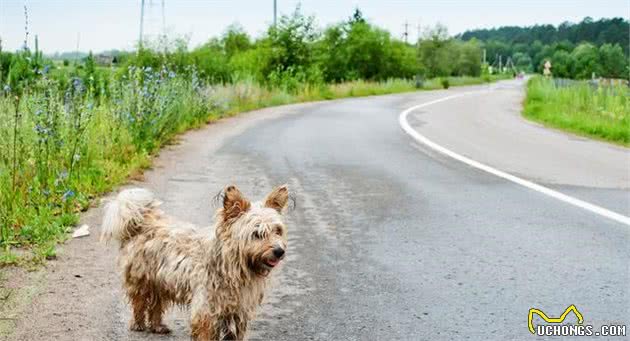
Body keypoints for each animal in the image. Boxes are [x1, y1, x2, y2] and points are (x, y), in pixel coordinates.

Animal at [101, 185, 292, 338]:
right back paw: (138, 324)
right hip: (141, 279)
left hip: (160, 281)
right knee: (139, 302)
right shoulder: (206, 309)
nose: (279, 251)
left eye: (278, 230)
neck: (233, 266)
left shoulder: (238, 311)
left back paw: (157, 326)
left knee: (156, 305)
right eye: (257, 234)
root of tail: (142, 223)